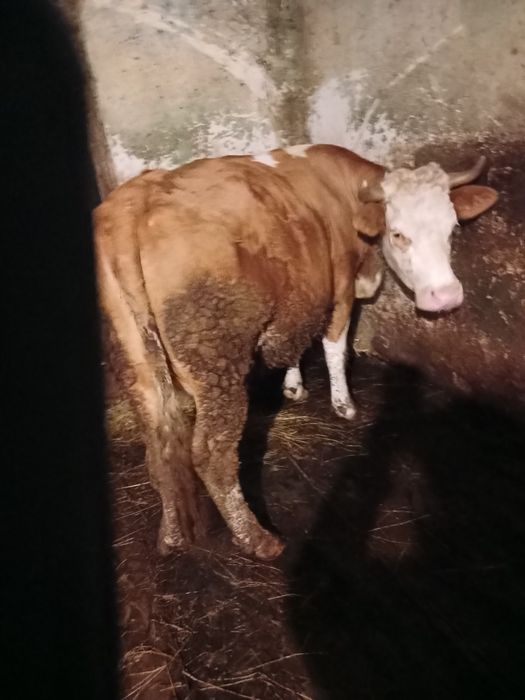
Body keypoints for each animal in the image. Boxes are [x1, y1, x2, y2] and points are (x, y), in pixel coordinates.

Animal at [95, 144, 498, 560]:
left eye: (452, 229)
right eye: (399, 233)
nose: (446, 297)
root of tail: (134, 204)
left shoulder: (301, 295)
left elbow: (294, 343)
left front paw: (293, 387)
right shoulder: (339, 289)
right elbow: (334, 347)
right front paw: (343, 404)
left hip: (136, 365)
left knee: (159, 447)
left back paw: (172, 535)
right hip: (215, 360)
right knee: (211, 454)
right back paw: (257, 540)